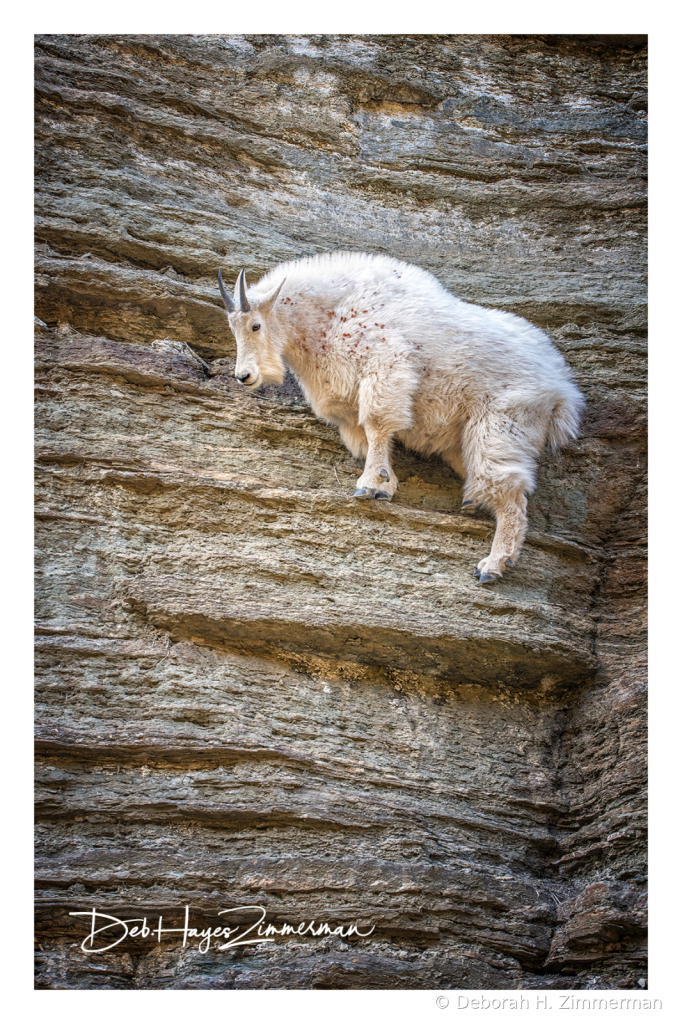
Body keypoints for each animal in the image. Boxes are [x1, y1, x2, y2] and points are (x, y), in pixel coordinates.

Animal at [216, 253, 577, 585]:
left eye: (256, 325)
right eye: (232, 328)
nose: (244, 376)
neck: (330, 313)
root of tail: (562, 391)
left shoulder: (385, 368)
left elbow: (377, 426)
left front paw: (368, 486)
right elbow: (371, 440)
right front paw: (386, 483)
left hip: (503, 424)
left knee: (511, 493)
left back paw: (493, 564)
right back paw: (475, 506)